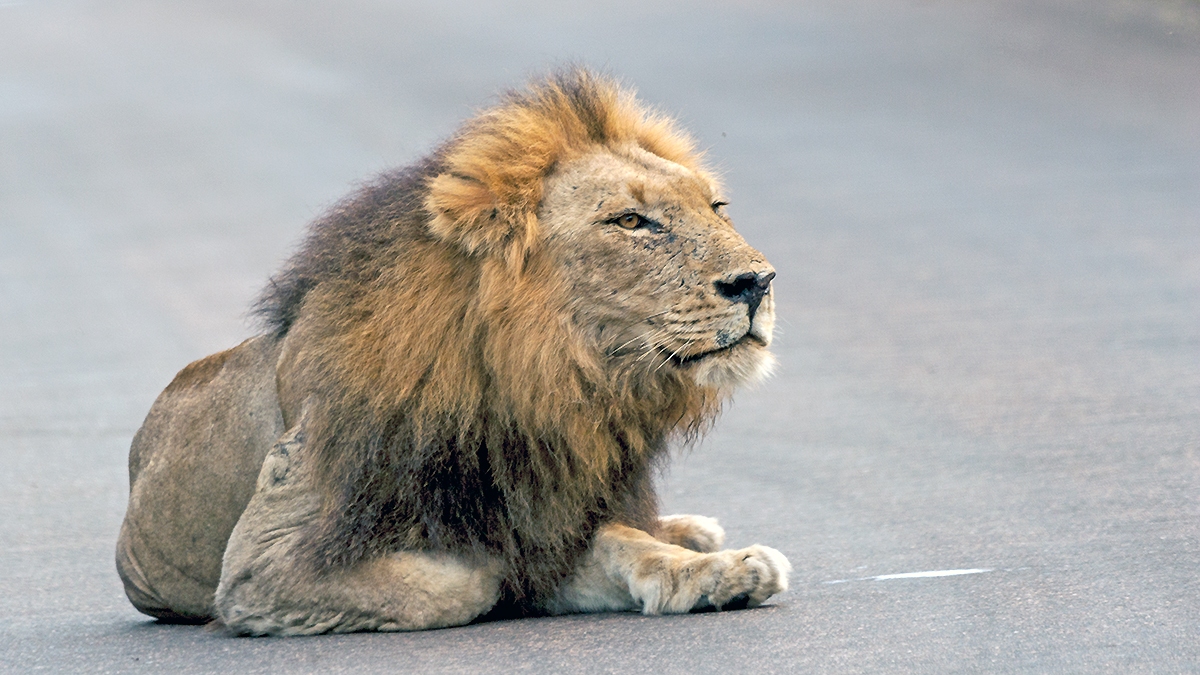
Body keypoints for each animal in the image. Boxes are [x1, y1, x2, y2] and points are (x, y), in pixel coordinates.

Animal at [115, 69, 790, 635]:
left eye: (716, 206)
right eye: (629, 221)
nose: (758, 282)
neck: (535, 382)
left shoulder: (547, 512)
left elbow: (625, 541)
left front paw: (726, 571)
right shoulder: (264, 563)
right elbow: (465, 581)